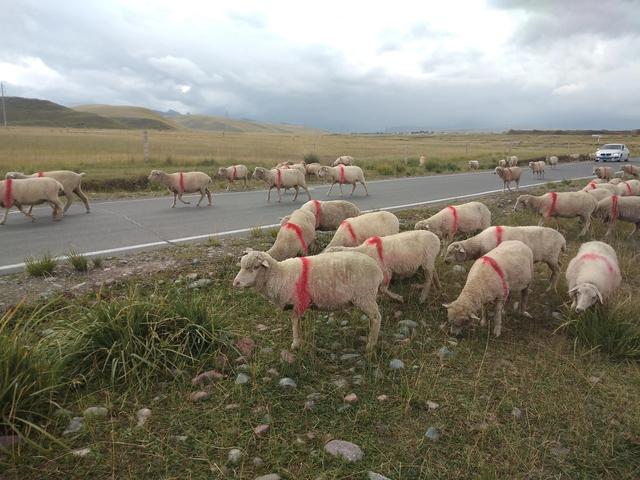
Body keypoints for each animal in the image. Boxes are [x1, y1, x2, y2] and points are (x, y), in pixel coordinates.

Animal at [235, 251, 384, 352]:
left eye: (255, 267)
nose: (235, 283)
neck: (279, 274)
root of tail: (378, 269)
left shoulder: (297, 303)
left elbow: (295, 323)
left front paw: (295, 343)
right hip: (366, 297)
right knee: (372, 318)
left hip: (365, 295)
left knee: (376, 318)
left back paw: (371, 345)